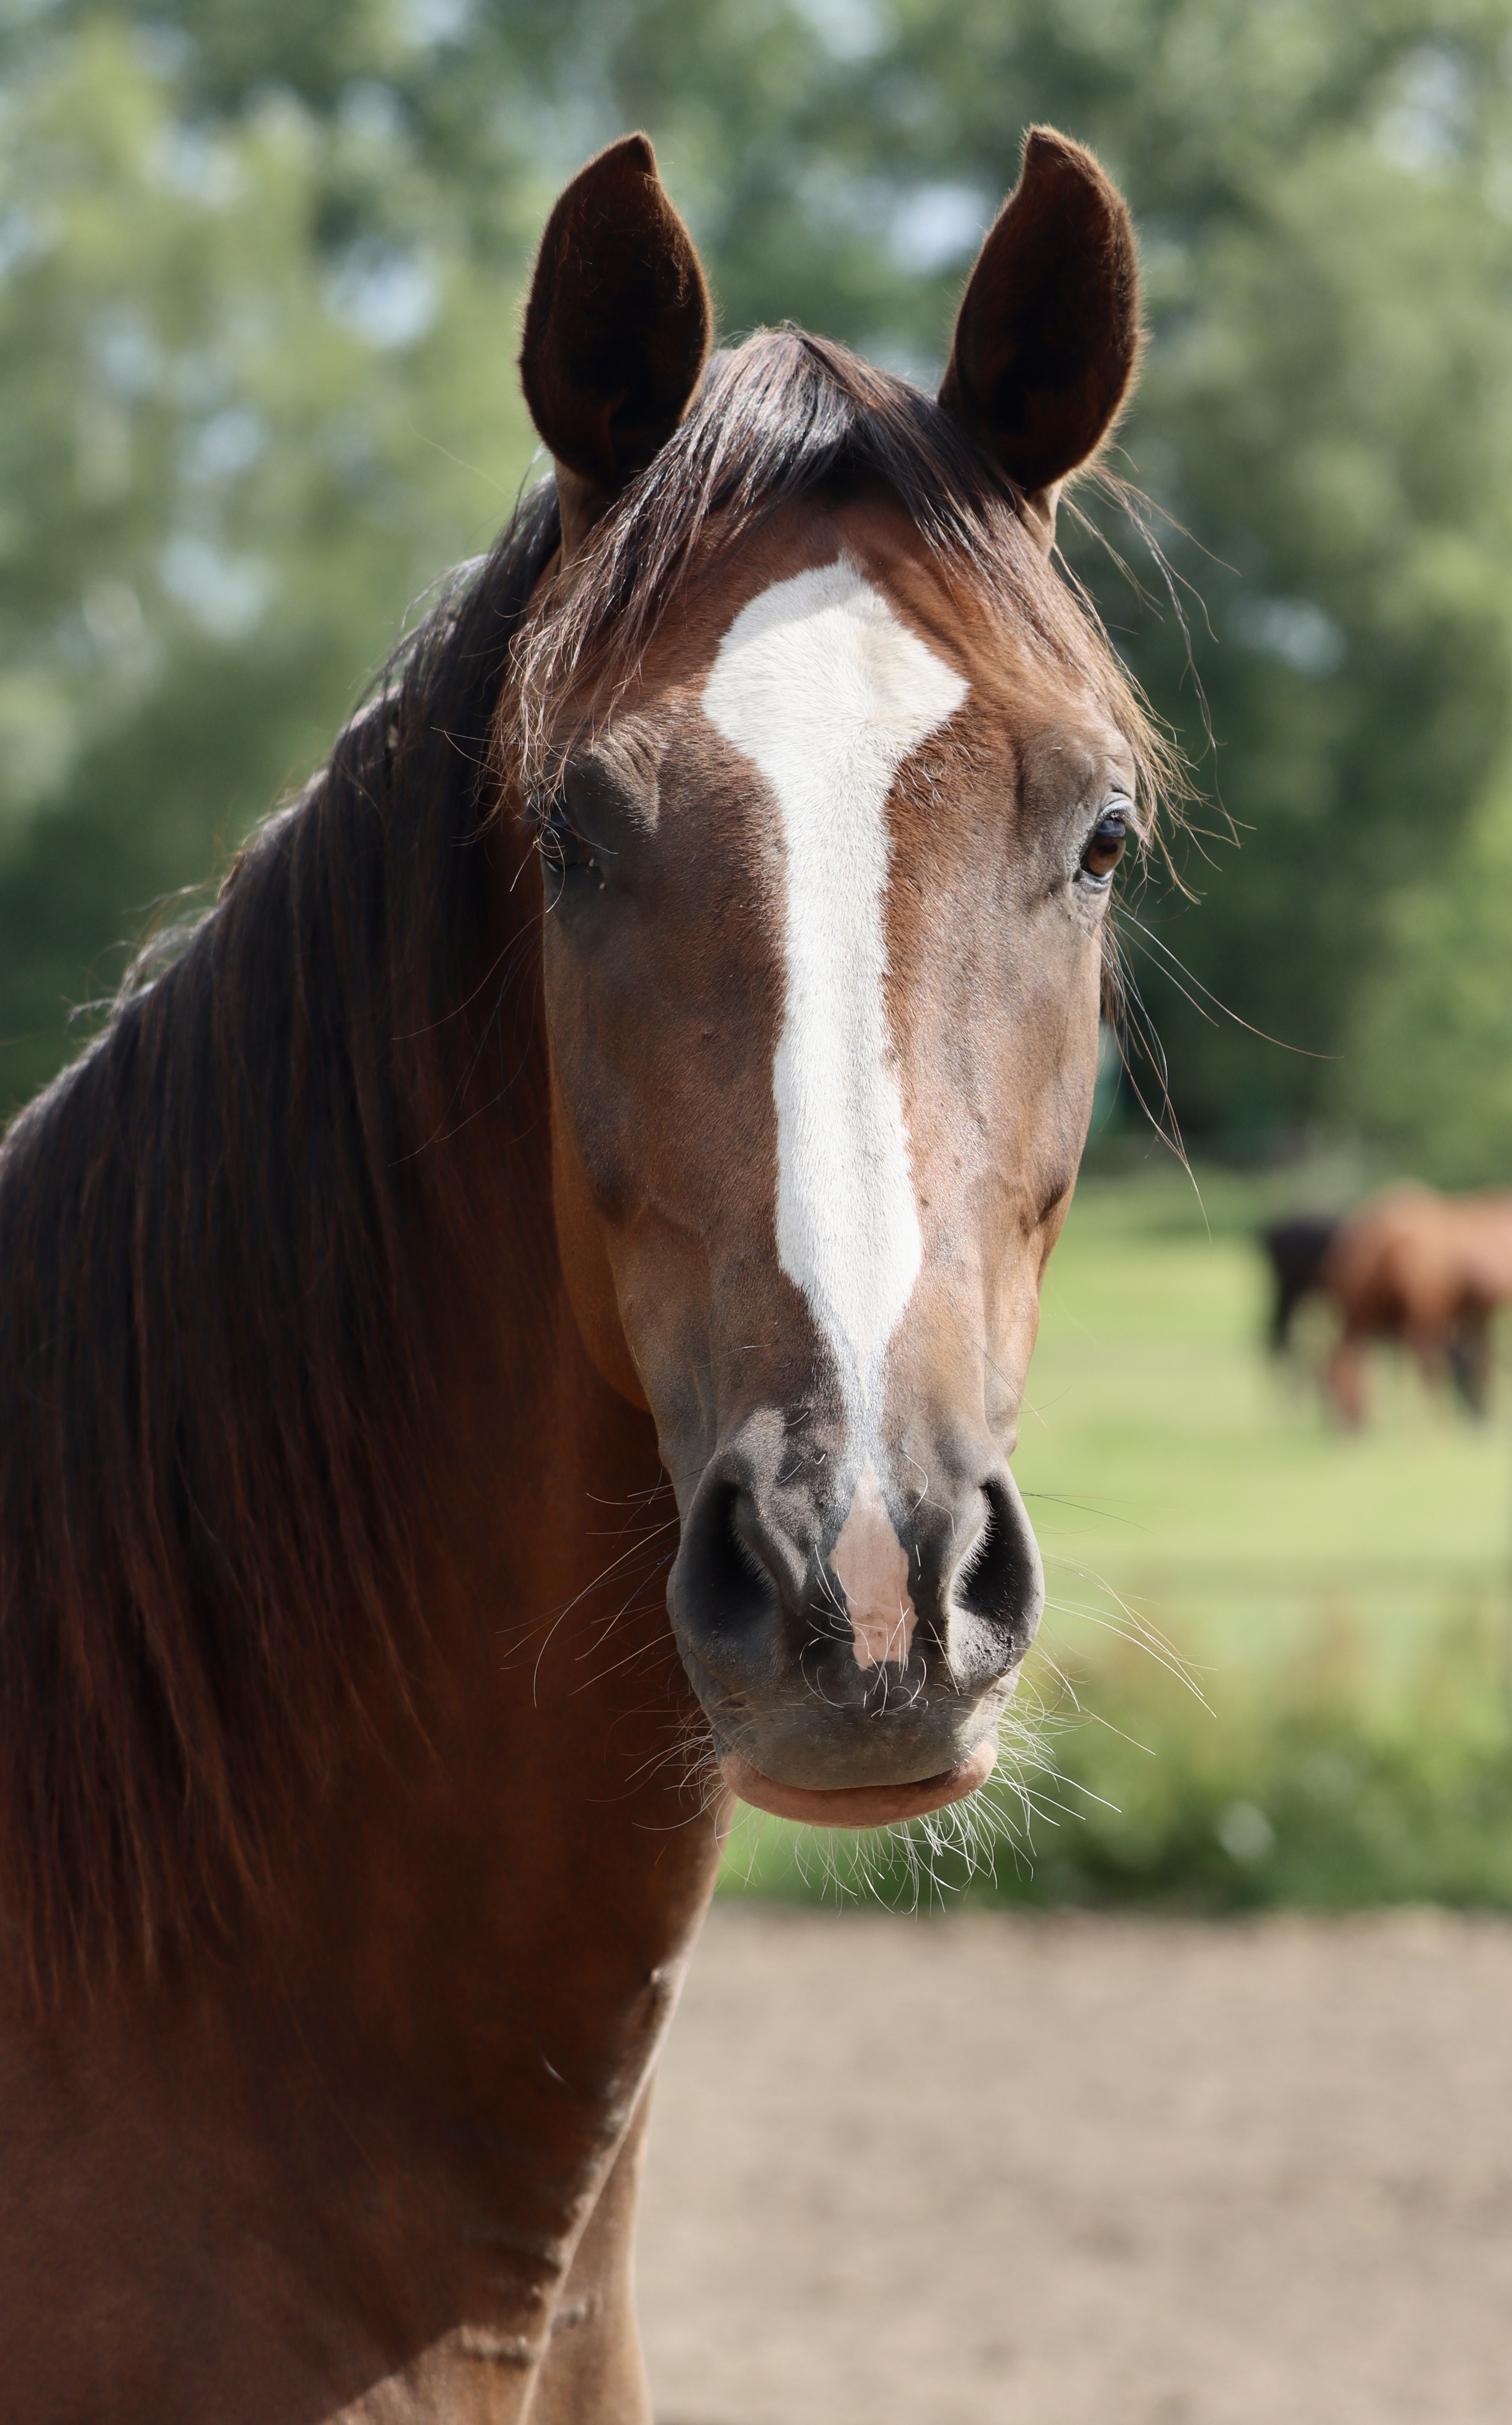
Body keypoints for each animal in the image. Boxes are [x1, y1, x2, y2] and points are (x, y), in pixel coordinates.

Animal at [1318, 1178, 1512, 1416]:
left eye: (1337, 1394)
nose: (1346, 1424)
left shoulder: (1426, 1322)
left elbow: (1431, 1371)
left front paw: (1436, 1418)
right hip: (1477, 1315)